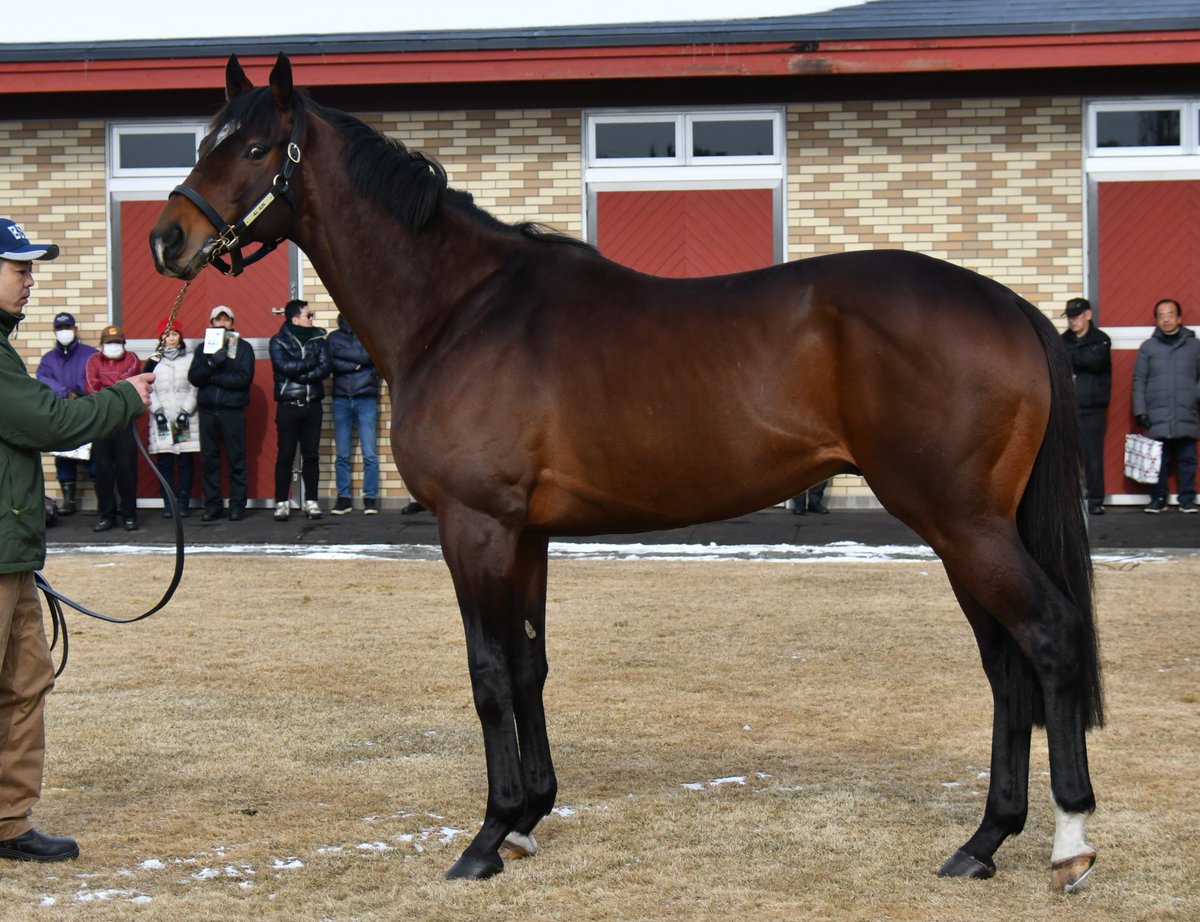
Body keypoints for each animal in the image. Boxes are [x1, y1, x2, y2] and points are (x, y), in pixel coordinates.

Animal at [150, 53, 1103, 892]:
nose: (168, 238)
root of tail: (1009, 306)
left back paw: (1069, 844)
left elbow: (487, 674)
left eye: (255, 148)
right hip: (966, 529)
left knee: (1050, 640)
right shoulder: (525, 535)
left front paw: (486, 839)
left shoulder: (475, 527)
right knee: (1007, 667)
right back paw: (983, 842)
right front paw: (530, 816)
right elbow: (527, 667)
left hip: (961, 523)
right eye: (203, 138)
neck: (461, 309)